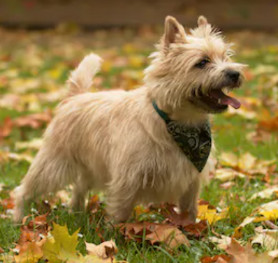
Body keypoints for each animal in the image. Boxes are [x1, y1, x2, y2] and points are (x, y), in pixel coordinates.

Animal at [13, 15, 243, 224]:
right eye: (202, 62)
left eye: (226, 57)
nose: (235, 73)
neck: (178, 124)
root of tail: (74, 97)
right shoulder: (127, 179)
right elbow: (120, 213)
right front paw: (116, 237)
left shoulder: (191, 181)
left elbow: (189, 210)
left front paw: (189, 232)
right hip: (53, 165)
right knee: (24, 190)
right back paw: (18, 219)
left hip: (89, 167)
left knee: (78, 188)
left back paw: (77, 213)